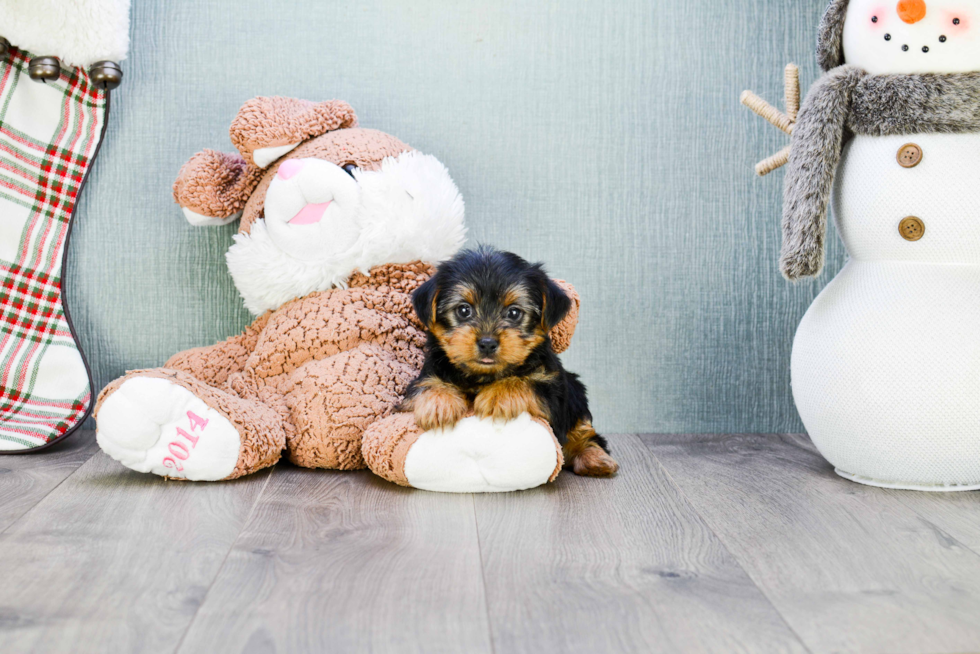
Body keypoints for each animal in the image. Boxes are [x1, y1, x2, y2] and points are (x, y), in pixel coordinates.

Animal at [400, 246, 620, 476]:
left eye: (514, 312)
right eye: (463, 310)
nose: (487, 343)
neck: (483, 376)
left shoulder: (553, 389)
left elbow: (530, 382)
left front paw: (498, 394)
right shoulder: (425, 374)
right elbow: (426, 383)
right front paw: (439, 402)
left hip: (575, 393)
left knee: (582, 429)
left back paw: (594, 458)